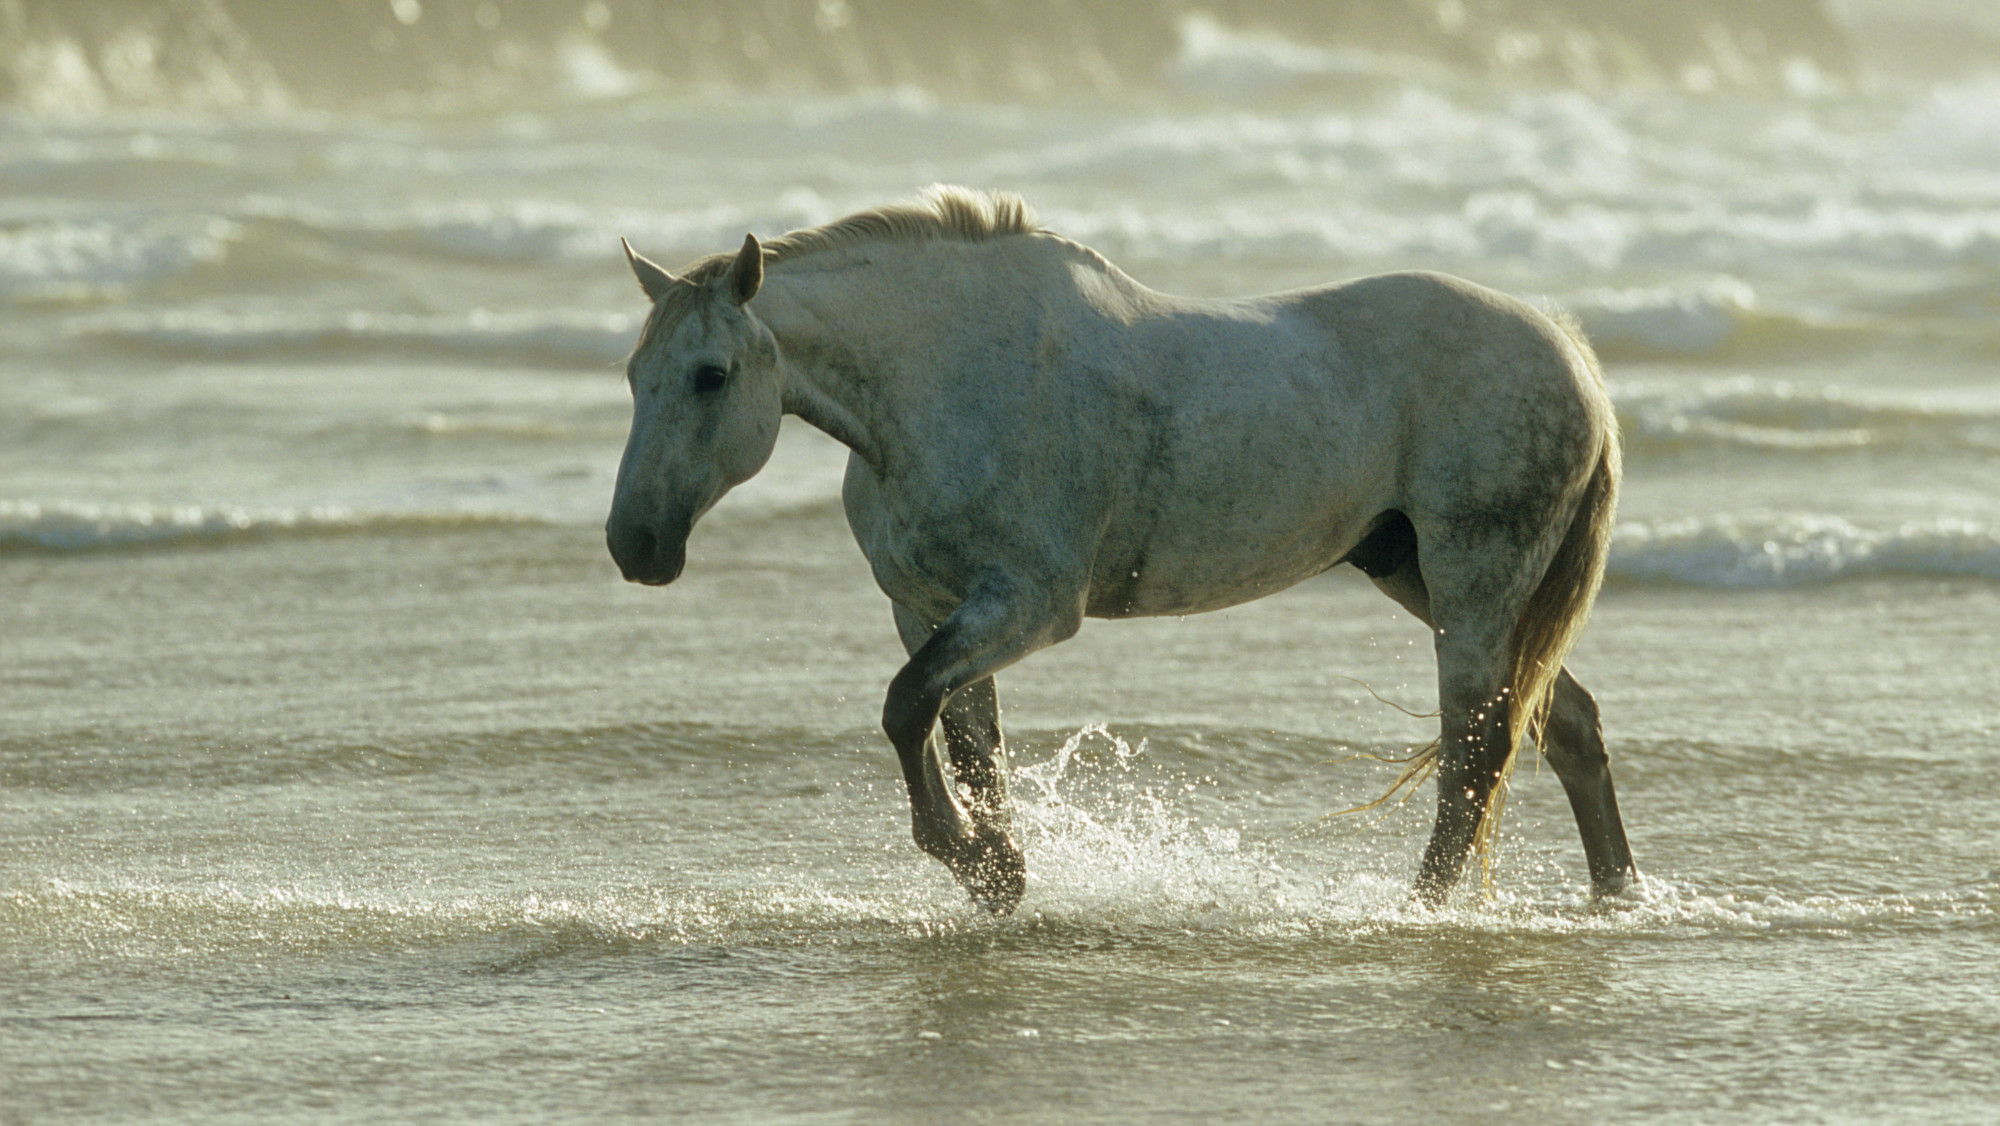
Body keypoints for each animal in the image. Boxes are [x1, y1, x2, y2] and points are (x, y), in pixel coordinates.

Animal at [606, 186, 1636, 913]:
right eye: (634, 373)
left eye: (710, 375)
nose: (635, 545)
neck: (944, 379)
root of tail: (1571, 357)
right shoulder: (930, 610)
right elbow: (962, 742)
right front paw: (996, 870)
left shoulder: (1029, 606)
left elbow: (906, 712)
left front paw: (976, 858)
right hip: (1416, 574)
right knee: (1565, 724)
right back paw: (1615, 896)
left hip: (1473, 585)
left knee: (1478, 749)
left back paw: (1419, 907)